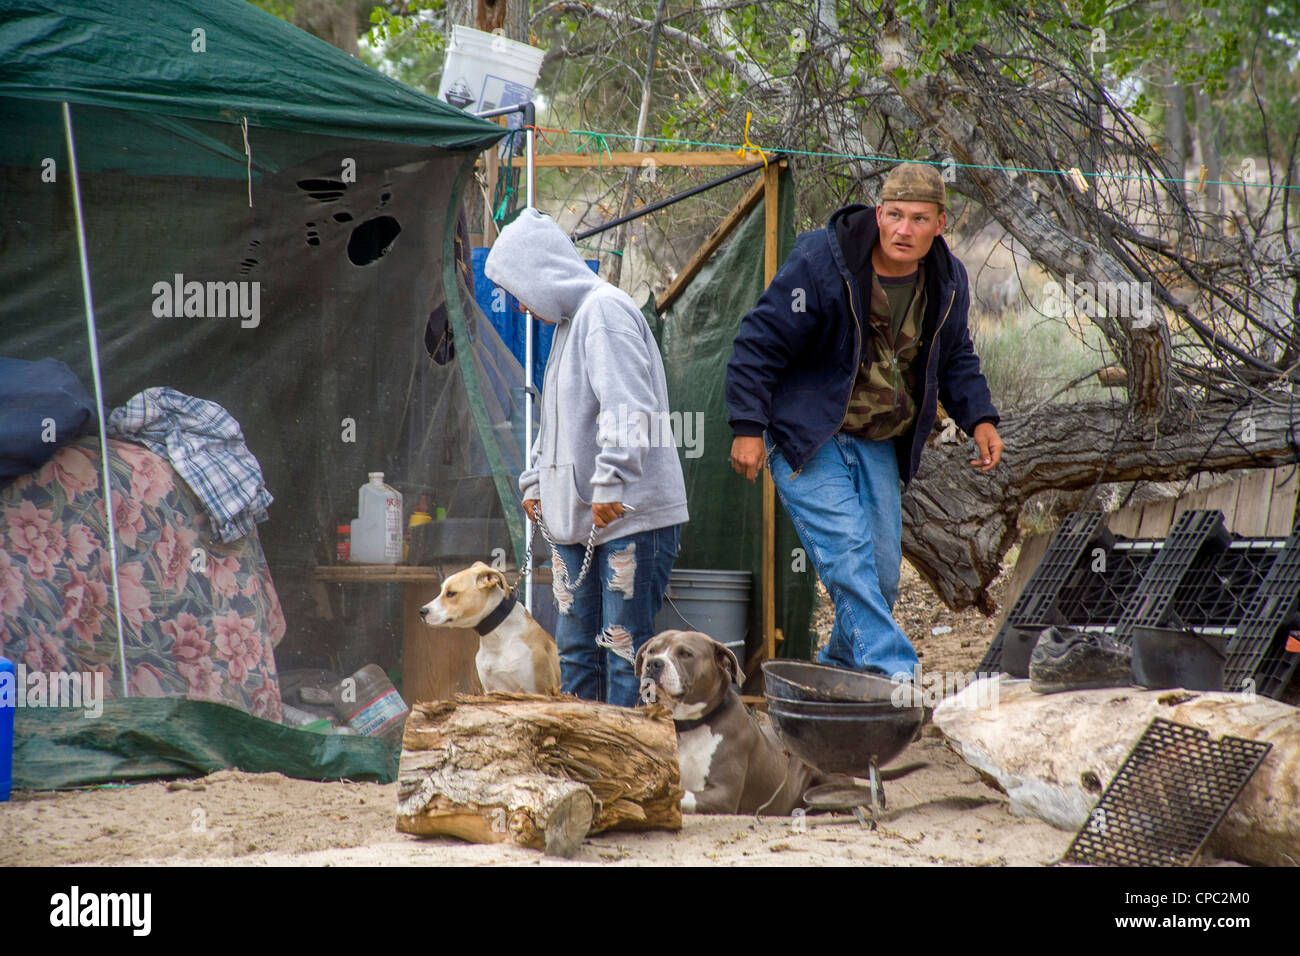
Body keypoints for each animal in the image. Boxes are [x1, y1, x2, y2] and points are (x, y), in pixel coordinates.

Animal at [634, 629, 816, 816]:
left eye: (685, 654)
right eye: (652, 651)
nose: (653, 663)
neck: (687, 727)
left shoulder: (724, 794)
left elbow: (683, 794)